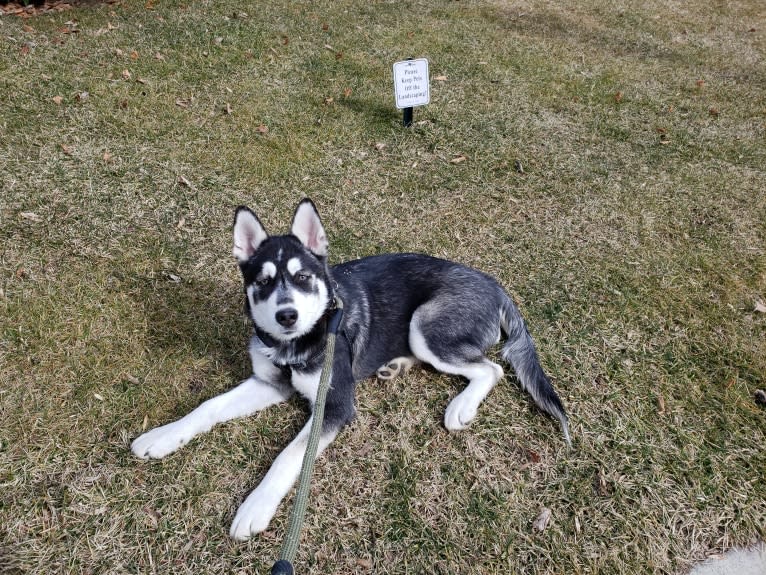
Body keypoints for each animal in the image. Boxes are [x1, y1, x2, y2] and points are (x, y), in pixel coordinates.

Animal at [132, 198, 572, 540]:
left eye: (303, 277)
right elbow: (208, 406)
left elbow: (290, 455)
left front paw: (255, 507)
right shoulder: (269, 383)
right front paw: (162, 436)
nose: (287, 315)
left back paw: (460, 407)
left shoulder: (335, 404)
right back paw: (395, 366)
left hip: (425, 326)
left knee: (491, 369)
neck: (298, 342)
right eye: (263, 282)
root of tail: (495, 285)